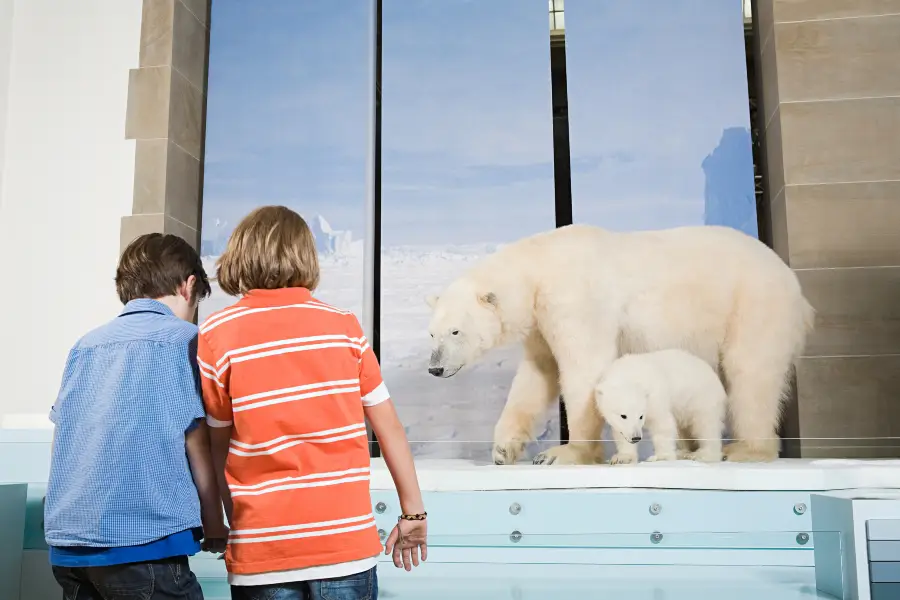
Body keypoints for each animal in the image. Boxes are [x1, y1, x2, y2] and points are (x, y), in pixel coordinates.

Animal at [426, 223, 812, 466]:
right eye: (432, 333)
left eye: (455, 332)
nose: (435, 367)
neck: (538, 268)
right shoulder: (541, 322)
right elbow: (536, 376)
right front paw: (503, 450)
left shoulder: (574, 298)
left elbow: (583, 369)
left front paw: (562, 454)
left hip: (752, 305)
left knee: (750, 373)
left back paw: (746, 449)